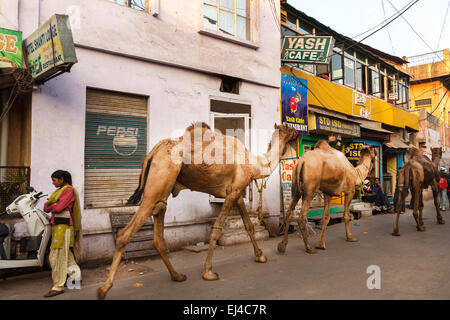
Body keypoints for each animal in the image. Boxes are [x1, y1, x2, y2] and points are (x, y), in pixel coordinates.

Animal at [96, 121, 298, 298]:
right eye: (288, 127)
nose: (298, 131)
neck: (254, 164)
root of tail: (152, 153)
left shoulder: (236, 192)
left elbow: (249, 226)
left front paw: (260, 256)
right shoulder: (233, 192)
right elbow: (216, 230)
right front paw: (209, 272)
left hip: (163, 189)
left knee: (158, 234)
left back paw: (177, 276)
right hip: (158, 182)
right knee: (125, 233)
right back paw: (103, 290)